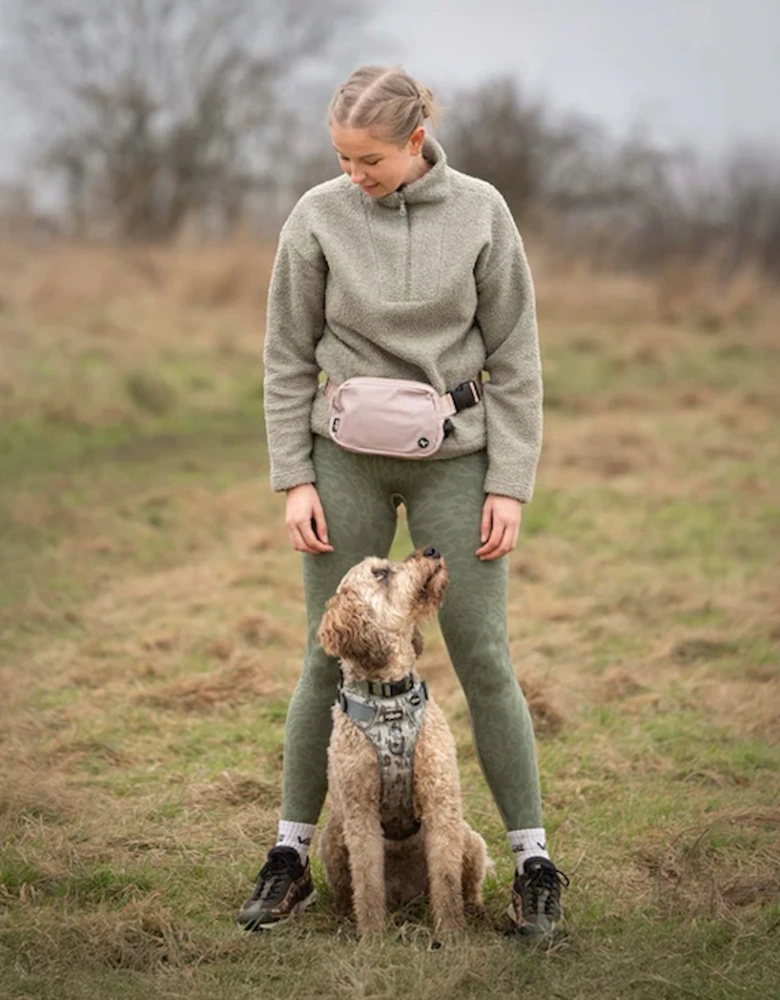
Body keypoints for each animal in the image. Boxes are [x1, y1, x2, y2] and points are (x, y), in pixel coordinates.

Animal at [316, 548, 488, 936]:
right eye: (379, 573)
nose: (432, 550)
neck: (389, 699)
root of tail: (408, 896)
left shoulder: (441, 801)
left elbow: (446, 880)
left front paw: (452, 935)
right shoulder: (360, 813)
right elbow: (366, 884)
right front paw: (373, 938)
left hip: (469, 839)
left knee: (469, 884)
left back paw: (477, 911)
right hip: (331, 840)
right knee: (347, 891)